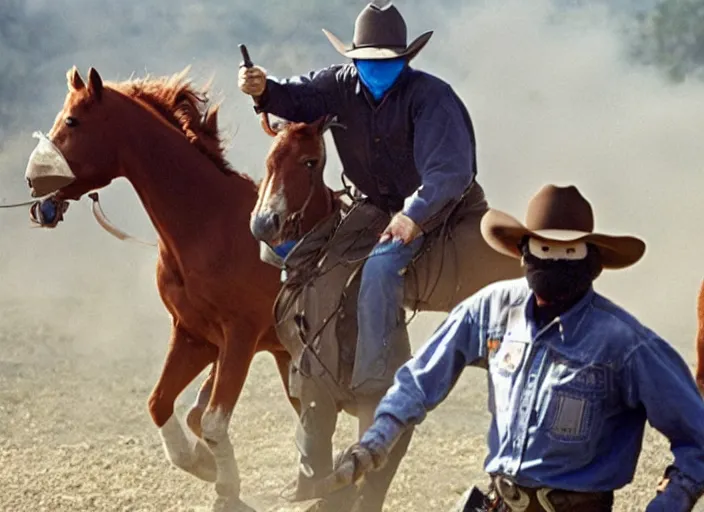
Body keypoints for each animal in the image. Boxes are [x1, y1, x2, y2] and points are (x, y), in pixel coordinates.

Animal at [23, 68, 296, 512]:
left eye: (72, 121)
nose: (33, 184)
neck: (211, 224)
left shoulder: (240, 338)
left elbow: (213, 420)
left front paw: (226, 488)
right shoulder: (195, 336)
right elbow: (163, 405)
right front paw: (205, 466)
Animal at [249, 117, 524, 512]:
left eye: (310, 161)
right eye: (272, 157)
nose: (264, 223)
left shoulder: (363, 400)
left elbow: (365, 484)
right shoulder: (315, 395)